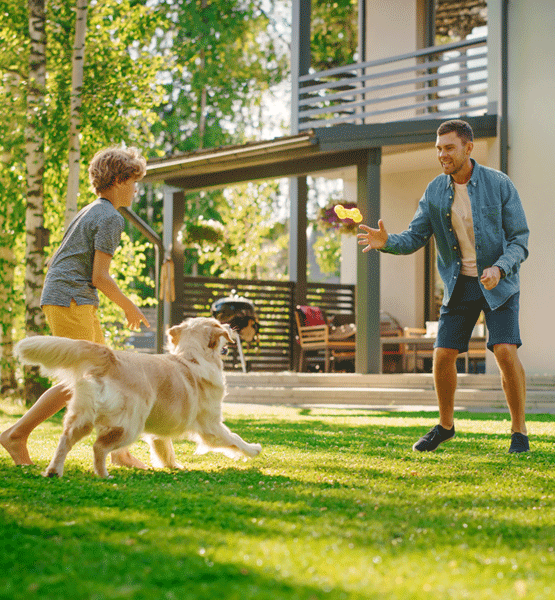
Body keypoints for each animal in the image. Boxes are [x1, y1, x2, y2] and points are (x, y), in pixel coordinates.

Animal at [14, 318, 262, 478]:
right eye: (219, 324)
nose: (231, 327)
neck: (191, 357)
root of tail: (111, 358)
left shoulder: (161, 430)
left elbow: (165, 449)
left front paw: (173, 466)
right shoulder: (211, 425)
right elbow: (234, 438)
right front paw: (253, 449)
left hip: (81, 417)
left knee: (65, 440)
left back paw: (54, 471)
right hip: (129, 426)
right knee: (99, 446)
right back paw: (103, 475)